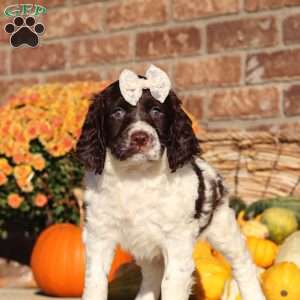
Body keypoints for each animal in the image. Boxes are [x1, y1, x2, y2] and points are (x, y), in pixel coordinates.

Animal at [75, 67, 264, 300]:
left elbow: (171, 284)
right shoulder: (98, 234)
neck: (136, 176)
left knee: (242, 263)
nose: (140, 138)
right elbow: (95, 282)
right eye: (117, 112)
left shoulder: (177, 240)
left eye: (157, 111)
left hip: (222, 226)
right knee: (151, 275)